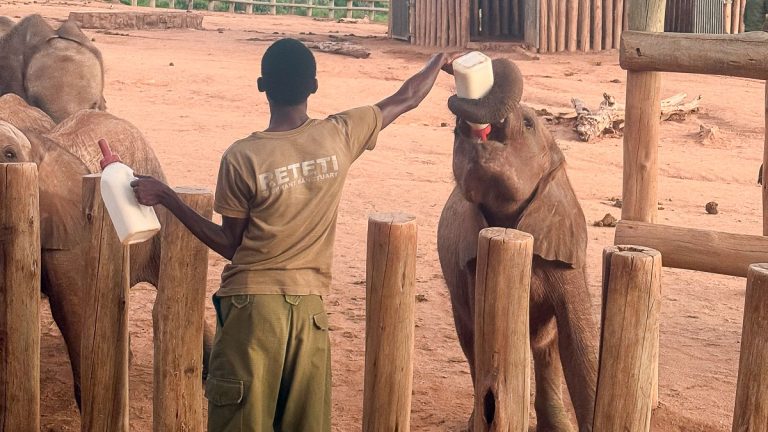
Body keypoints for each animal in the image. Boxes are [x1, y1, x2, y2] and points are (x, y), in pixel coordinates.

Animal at [437, 59, 598, 432]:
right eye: (454, 134)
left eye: (527, 123)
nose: (448, 64)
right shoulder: (473, 261)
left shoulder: (567, 256)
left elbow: (578, 343)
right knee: (470, 339)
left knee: (548, 347)